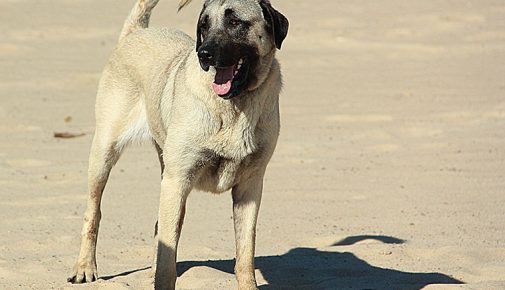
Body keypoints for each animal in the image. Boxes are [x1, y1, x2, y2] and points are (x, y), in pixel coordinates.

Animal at [67, 0, 288, 290]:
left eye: (235, 22)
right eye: (204, 26)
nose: (204, 54)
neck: (234, 106)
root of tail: (136, 32)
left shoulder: (249, 188)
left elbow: (245, 256)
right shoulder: (178, 180)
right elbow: (167, 262)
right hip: (105, 155)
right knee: (94, 213)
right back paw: (85, 267)